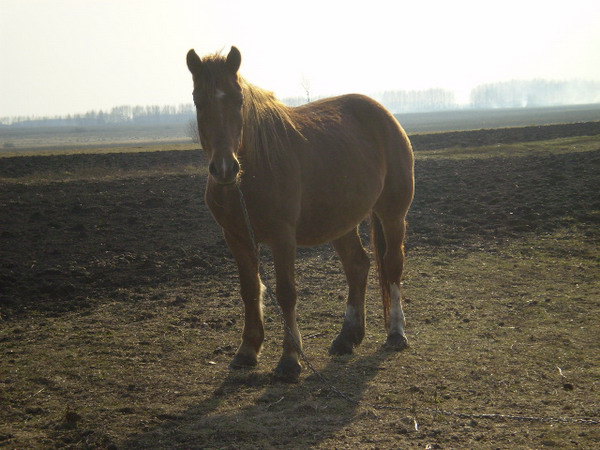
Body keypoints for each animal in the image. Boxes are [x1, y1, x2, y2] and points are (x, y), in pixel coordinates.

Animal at [186, 46, 412, 384]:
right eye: (198, 100)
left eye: (238, 100)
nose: (225, 168)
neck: (250, 175)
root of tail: (384, 115)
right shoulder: (237, 238)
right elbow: (249, 290)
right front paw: (247, 351)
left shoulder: (283, 238)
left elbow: (286, 293)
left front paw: (290, 360)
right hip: (341, 222)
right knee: (357, 266)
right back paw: (347, 337)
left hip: (392, 213)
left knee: (392, 264)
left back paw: (396, 333)